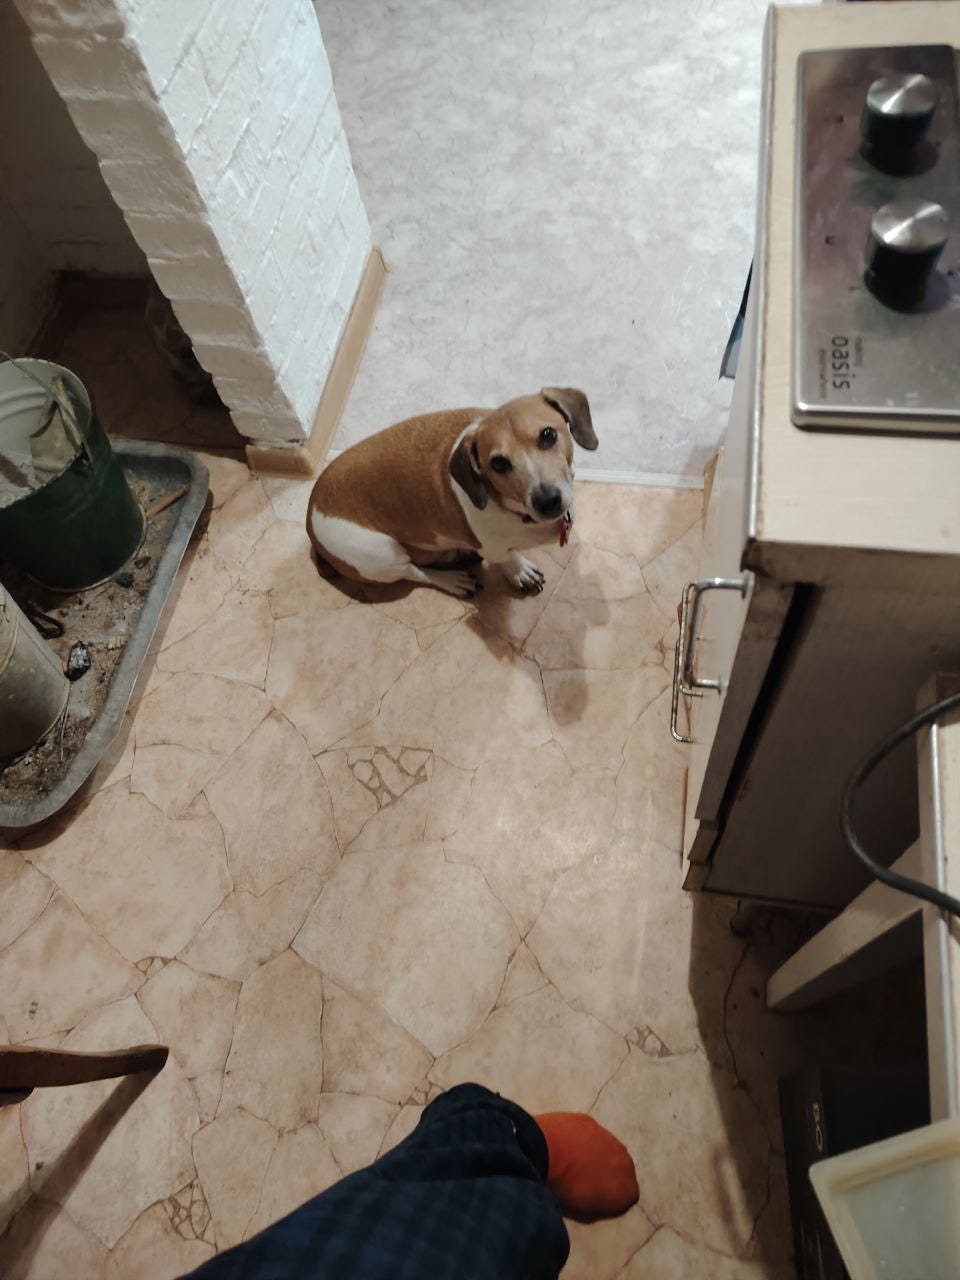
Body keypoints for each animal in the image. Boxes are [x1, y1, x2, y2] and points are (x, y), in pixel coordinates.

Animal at [306, 388, 597, 598]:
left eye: (548, 435)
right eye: (499, 464)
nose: (548, 501)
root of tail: (311, 513)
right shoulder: (493, 548)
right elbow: (506, 558)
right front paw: (519, 571)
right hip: (383, 558)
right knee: (415, 572)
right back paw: (453, 580)